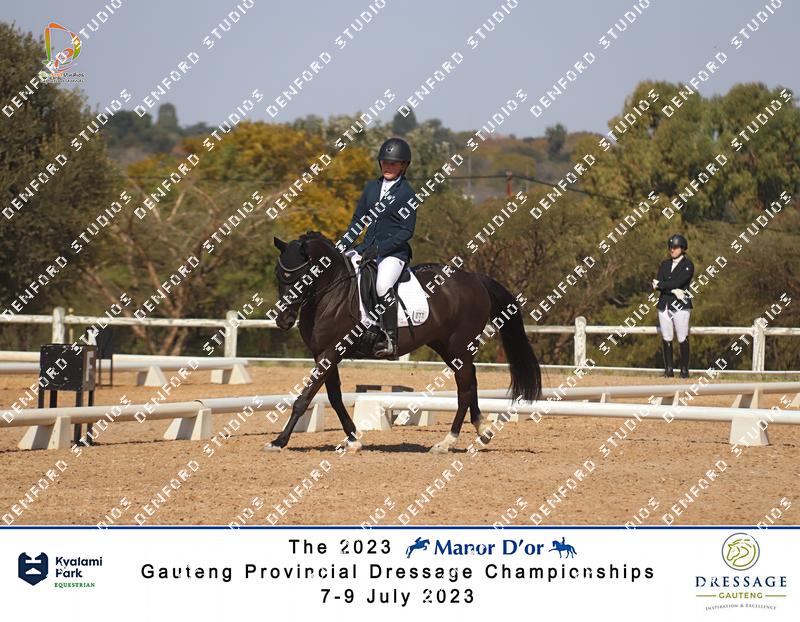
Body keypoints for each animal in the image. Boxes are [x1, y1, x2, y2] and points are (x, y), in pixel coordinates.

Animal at [263, 231, 541, 453]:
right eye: (278, 275)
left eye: (305, 276)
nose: (284, 321)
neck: (332, 294)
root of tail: (474, 278)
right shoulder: (323, 353)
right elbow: (334, 398)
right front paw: (353, 440)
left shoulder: (331, 352)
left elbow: (304, 398)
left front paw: (278, 441)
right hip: (445, 347)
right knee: (470, 383)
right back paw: (483, 431)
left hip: (459, 346)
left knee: (464, 389)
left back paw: (446, 443)